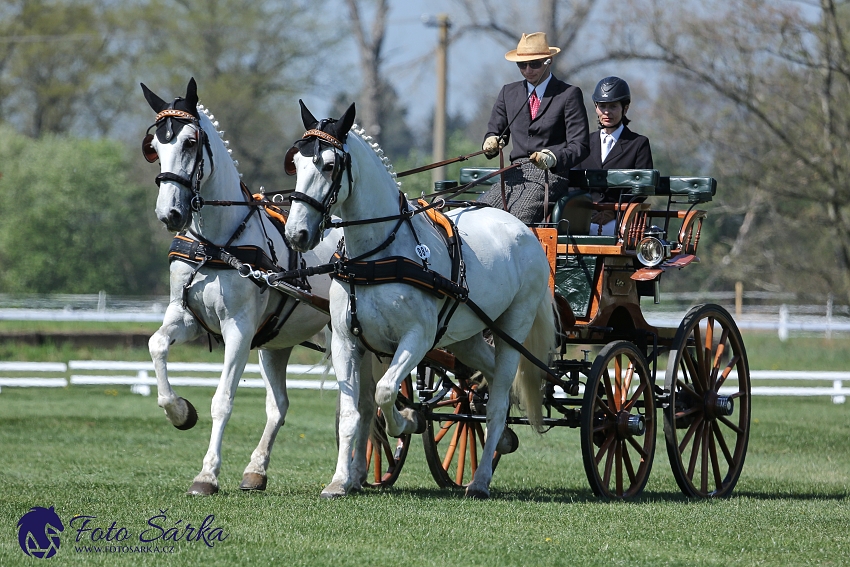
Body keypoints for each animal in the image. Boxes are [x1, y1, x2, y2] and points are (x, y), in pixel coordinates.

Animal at [141, 77, 366, 494]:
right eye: (155, 147)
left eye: (190, 142)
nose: (170, 213)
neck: (217, 243)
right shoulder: (186, 317)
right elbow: (157, 344)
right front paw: (179, 412)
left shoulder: (239, 329)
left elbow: (223, 400)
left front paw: (207, 475)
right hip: (275, 344)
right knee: (279, 406)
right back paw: (256, 471)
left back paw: (354, 471)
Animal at [282, 101, 552, 496]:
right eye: (297, 164)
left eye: (330, 165)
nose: (296, 234)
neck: (375, 258)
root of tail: (525, 231)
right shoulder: (348, 341)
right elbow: (353, 411)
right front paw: (339, 481)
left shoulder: (417, 338)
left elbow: (385, 392)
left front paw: (408, 419)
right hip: (467, 337)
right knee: (486, 379)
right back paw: (498, 434)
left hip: (513, 329)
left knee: (501, 396)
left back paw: (480, 480)